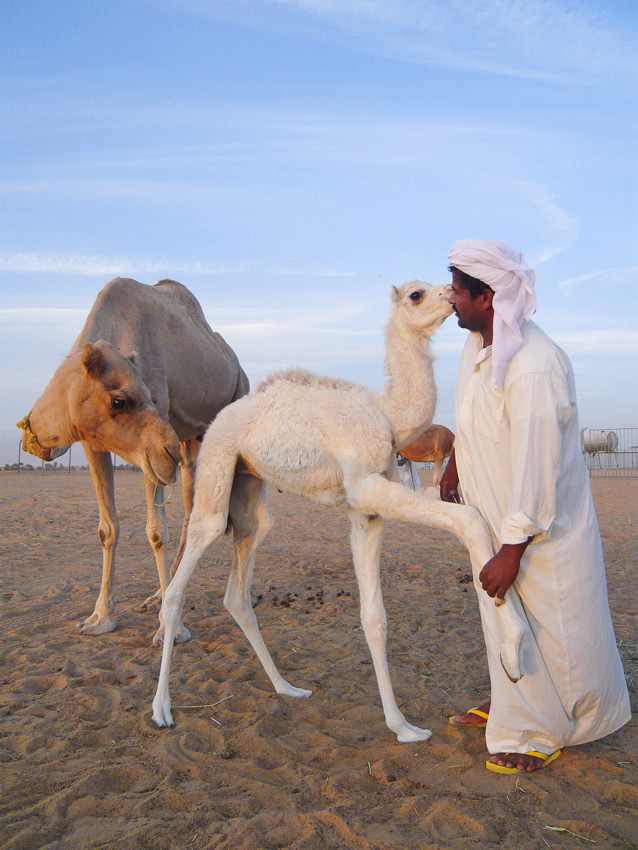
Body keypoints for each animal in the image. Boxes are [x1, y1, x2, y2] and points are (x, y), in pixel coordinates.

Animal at [17, 278, 248, 644]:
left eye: (150, 397)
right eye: (119, 401)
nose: (30, 438)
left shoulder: (150, 449)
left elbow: (156, 531)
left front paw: (171, 630)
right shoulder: (94, 441)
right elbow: (107, 528)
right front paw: (99, 618)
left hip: (233, 401)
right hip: (190, 443)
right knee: (191, 506)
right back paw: (158, 597)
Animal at [152, 280, 528, 744]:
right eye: (416, 294)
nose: (451, 296)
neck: (389, 416)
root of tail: (220, 420)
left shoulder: (366, 511)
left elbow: (375, 616)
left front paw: (402, 726)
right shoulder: (365, 485)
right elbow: (471, 518)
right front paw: (513, 651)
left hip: (249, 488)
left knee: (239, 587)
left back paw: (287, 688)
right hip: (217, 465)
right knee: (187, 566)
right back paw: (161, 709)